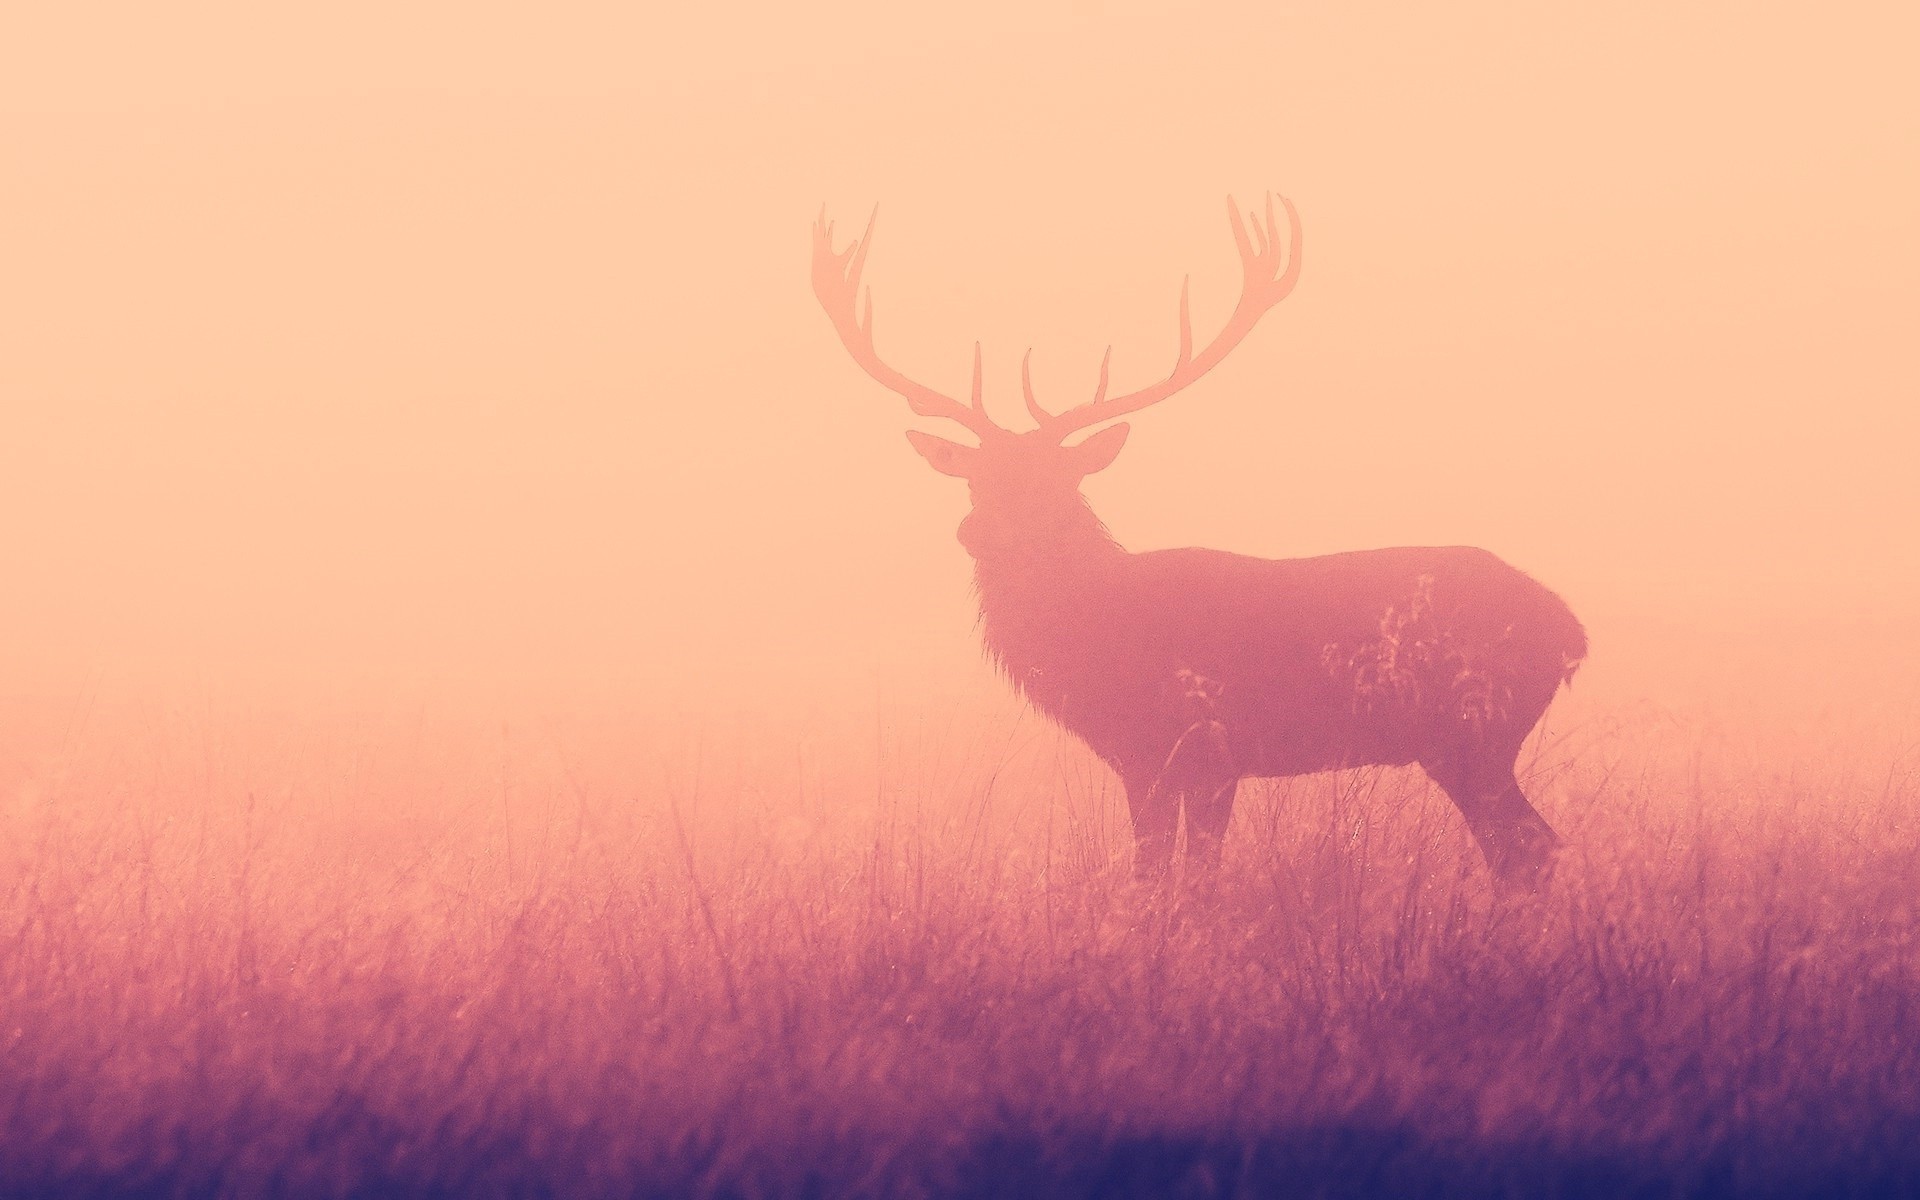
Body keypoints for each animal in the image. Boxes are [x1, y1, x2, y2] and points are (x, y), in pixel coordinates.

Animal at [810, 195, 1586, 887]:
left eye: (1054, 481)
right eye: (974, 479)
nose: (974, 532)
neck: (1098, 643)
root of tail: (1571, 630)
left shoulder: (1199, 747)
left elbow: (1177, 878)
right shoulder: (1158, 759)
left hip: (1474, 731)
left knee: (1531, 846)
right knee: (1524, 847)